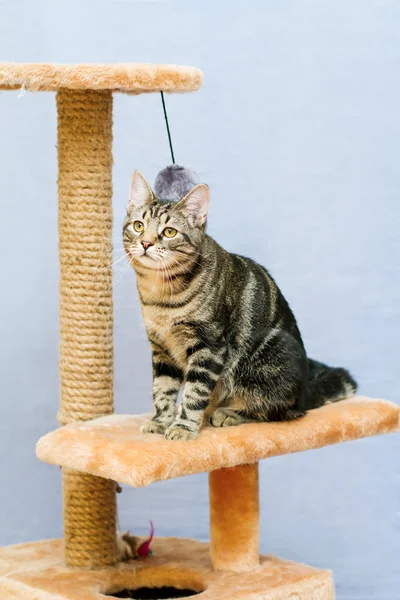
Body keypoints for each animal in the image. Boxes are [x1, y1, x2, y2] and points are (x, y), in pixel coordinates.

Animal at [122, 171, 356, 438]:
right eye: (138, 226)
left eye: (169, 232)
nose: (146, 243)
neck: (160, 295)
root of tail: (304, 393)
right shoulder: (161, 349)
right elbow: (162, 390)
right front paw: (161, 421)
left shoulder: (209, 346)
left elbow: (194, 392)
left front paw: (183, 426)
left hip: (273, 353)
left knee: (276, 412)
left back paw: (228, 414)